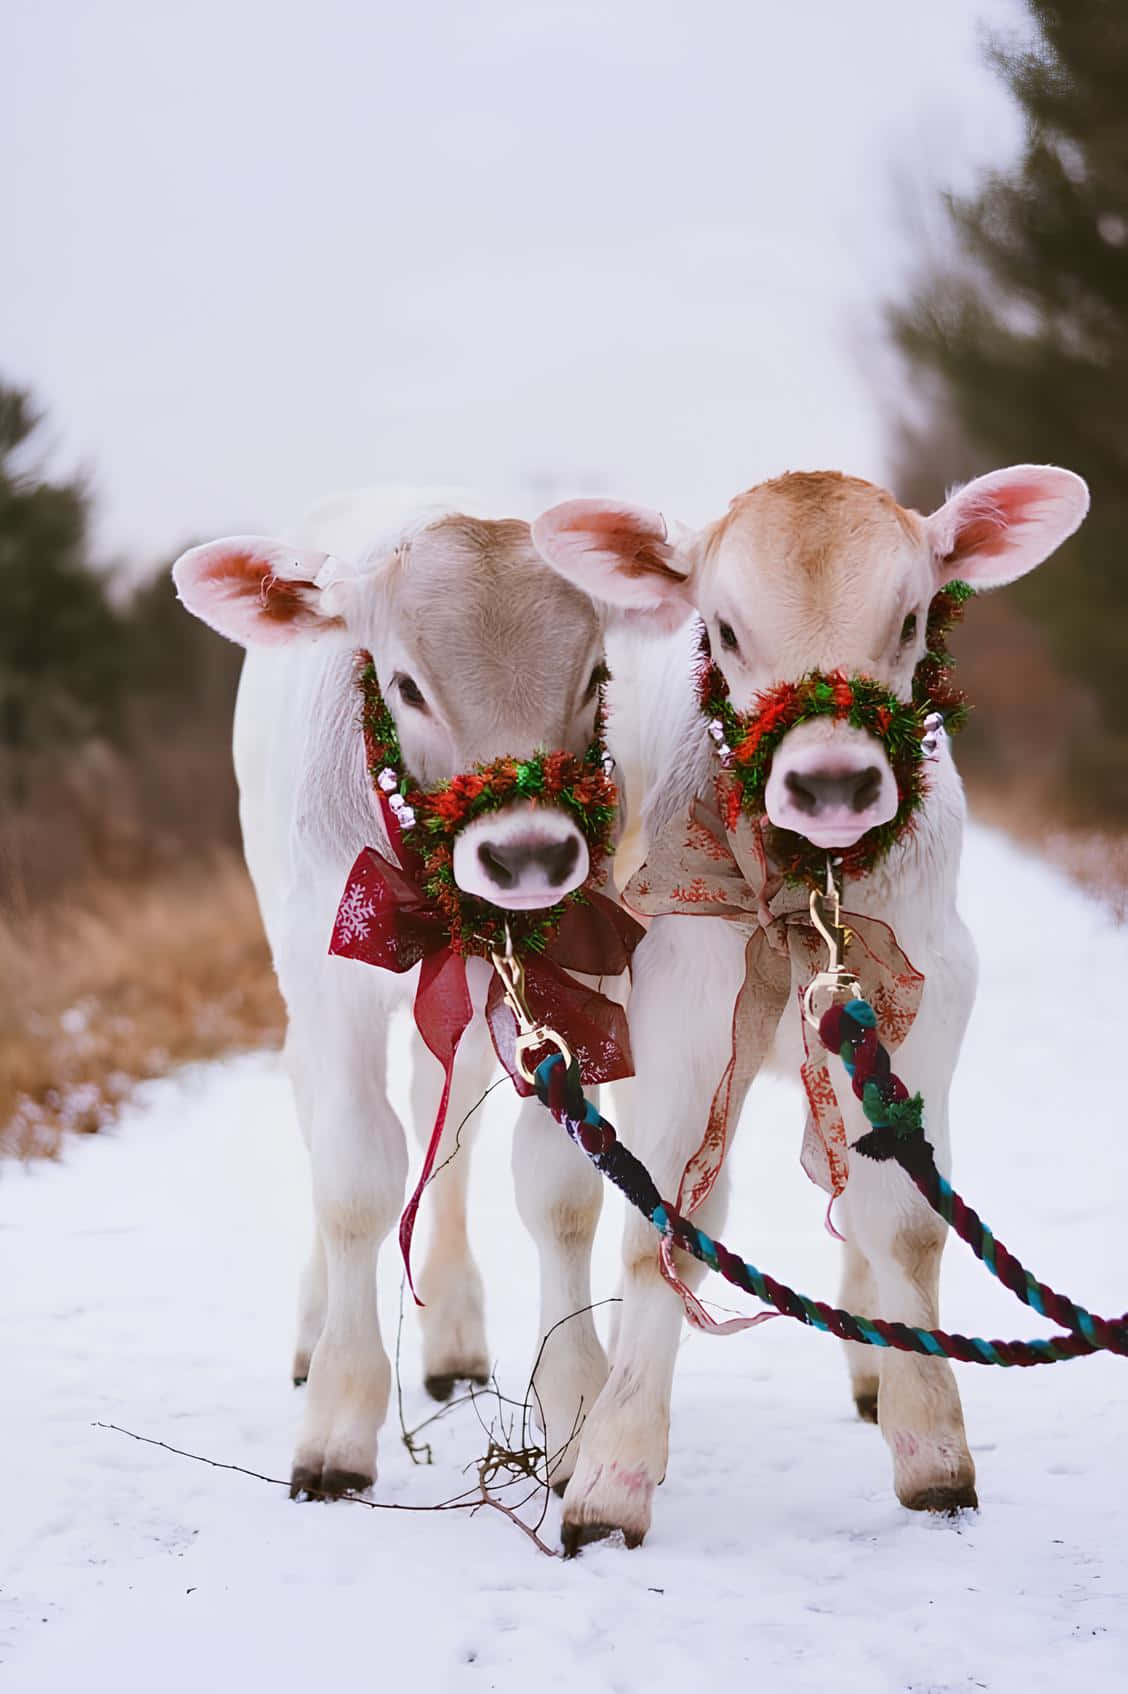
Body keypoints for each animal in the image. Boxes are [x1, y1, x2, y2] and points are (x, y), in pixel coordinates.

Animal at [172, 489, 631, 1500]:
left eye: (593, 677)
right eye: (408, 686)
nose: (530, 854)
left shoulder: (566, 977)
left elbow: (562, 1186)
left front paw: (579, 1410)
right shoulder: (330, 978)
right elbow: (354, 1178)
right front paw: (338, 1423)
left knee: (443, 1117)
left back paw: (453, 1334)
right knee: (324, 1115)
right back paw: (314, 1329)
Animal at [531, 465, 1089, 1550]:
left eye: (913, 617)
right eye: (723, 628)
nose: (833, 782)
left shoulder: (926, 1010)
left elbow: (905, 1223)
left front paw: (933, 1449)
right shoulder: (683, 1020)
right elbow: (660, 1222)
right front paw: (613, 1470)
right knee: (556, 1198)